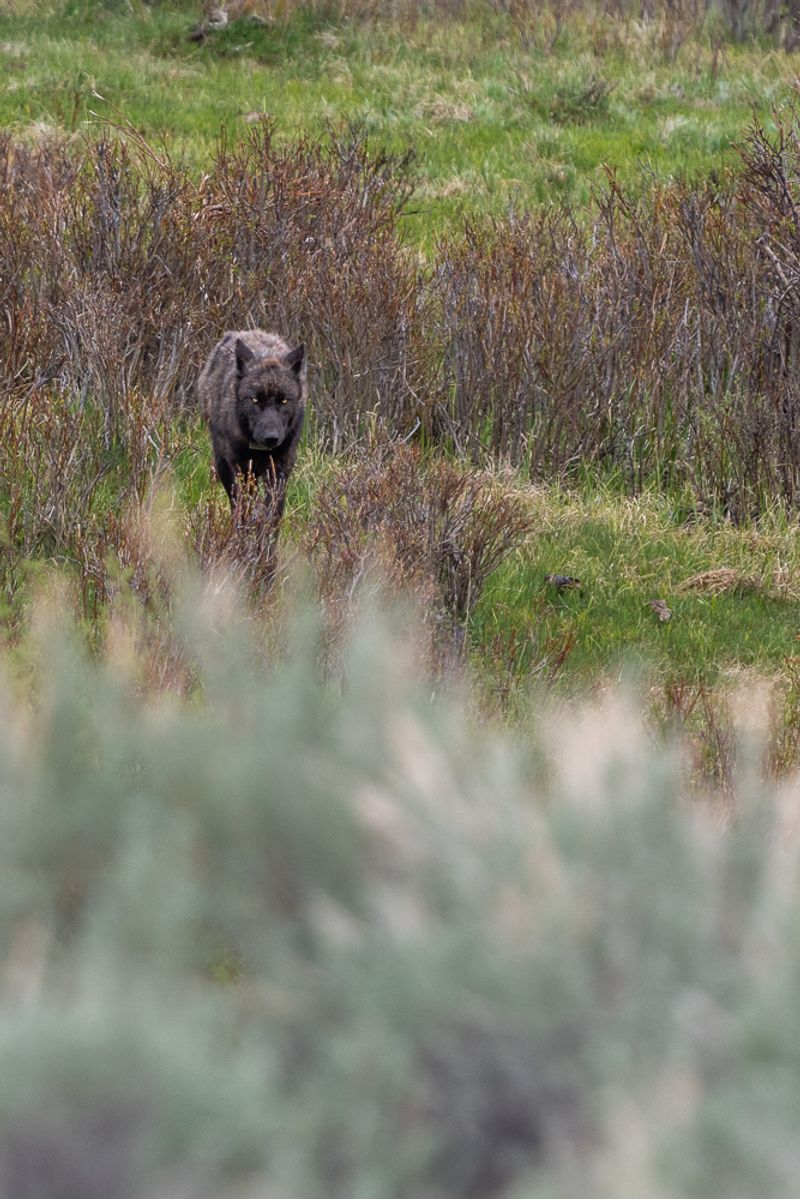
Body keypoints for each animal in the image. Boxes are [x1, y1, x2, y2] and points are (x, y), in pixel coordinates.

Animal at [198, 330, 306, 523]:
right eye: (255, 400)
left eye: (284, 401)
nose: (271, 438)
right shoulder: (241, 467)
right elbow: (244, 508)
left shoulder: (280, 467)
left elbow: (273, 511)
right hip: (224, 465)